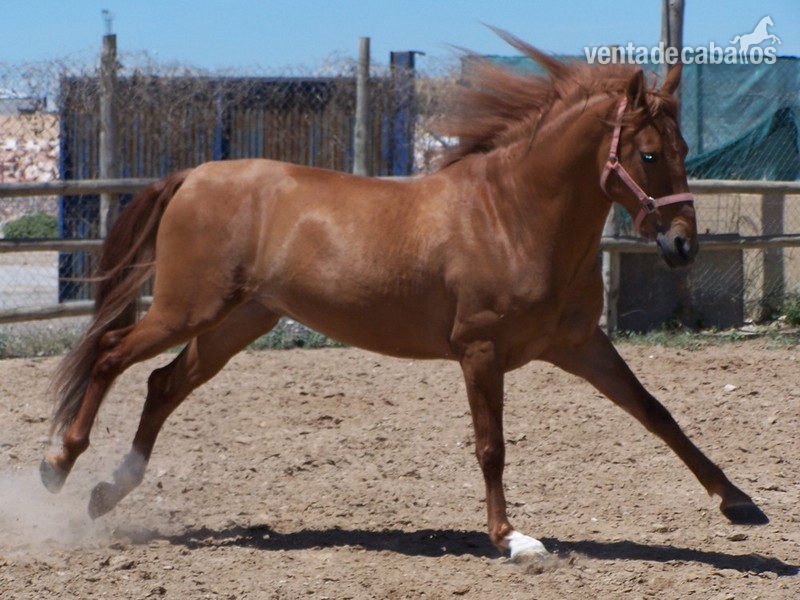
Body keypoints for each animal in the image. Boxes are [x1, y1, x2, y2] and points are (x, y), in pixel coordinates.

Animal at [40, 29, 768, 559]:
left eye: (684, 148)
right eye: (648, 154)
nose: (683, 245)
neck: (513, 215)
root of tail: (192, 175)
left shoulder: (580, 343)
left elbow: (656, 413)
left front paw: (739, 503)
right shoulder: (480, 350)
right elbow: (491, 447)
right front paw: (512, 539)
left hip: (236, 324)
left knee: (161, 384)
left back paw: (106, 493)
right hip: (186, 310)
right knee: (110, 353)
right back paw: (57, 465)